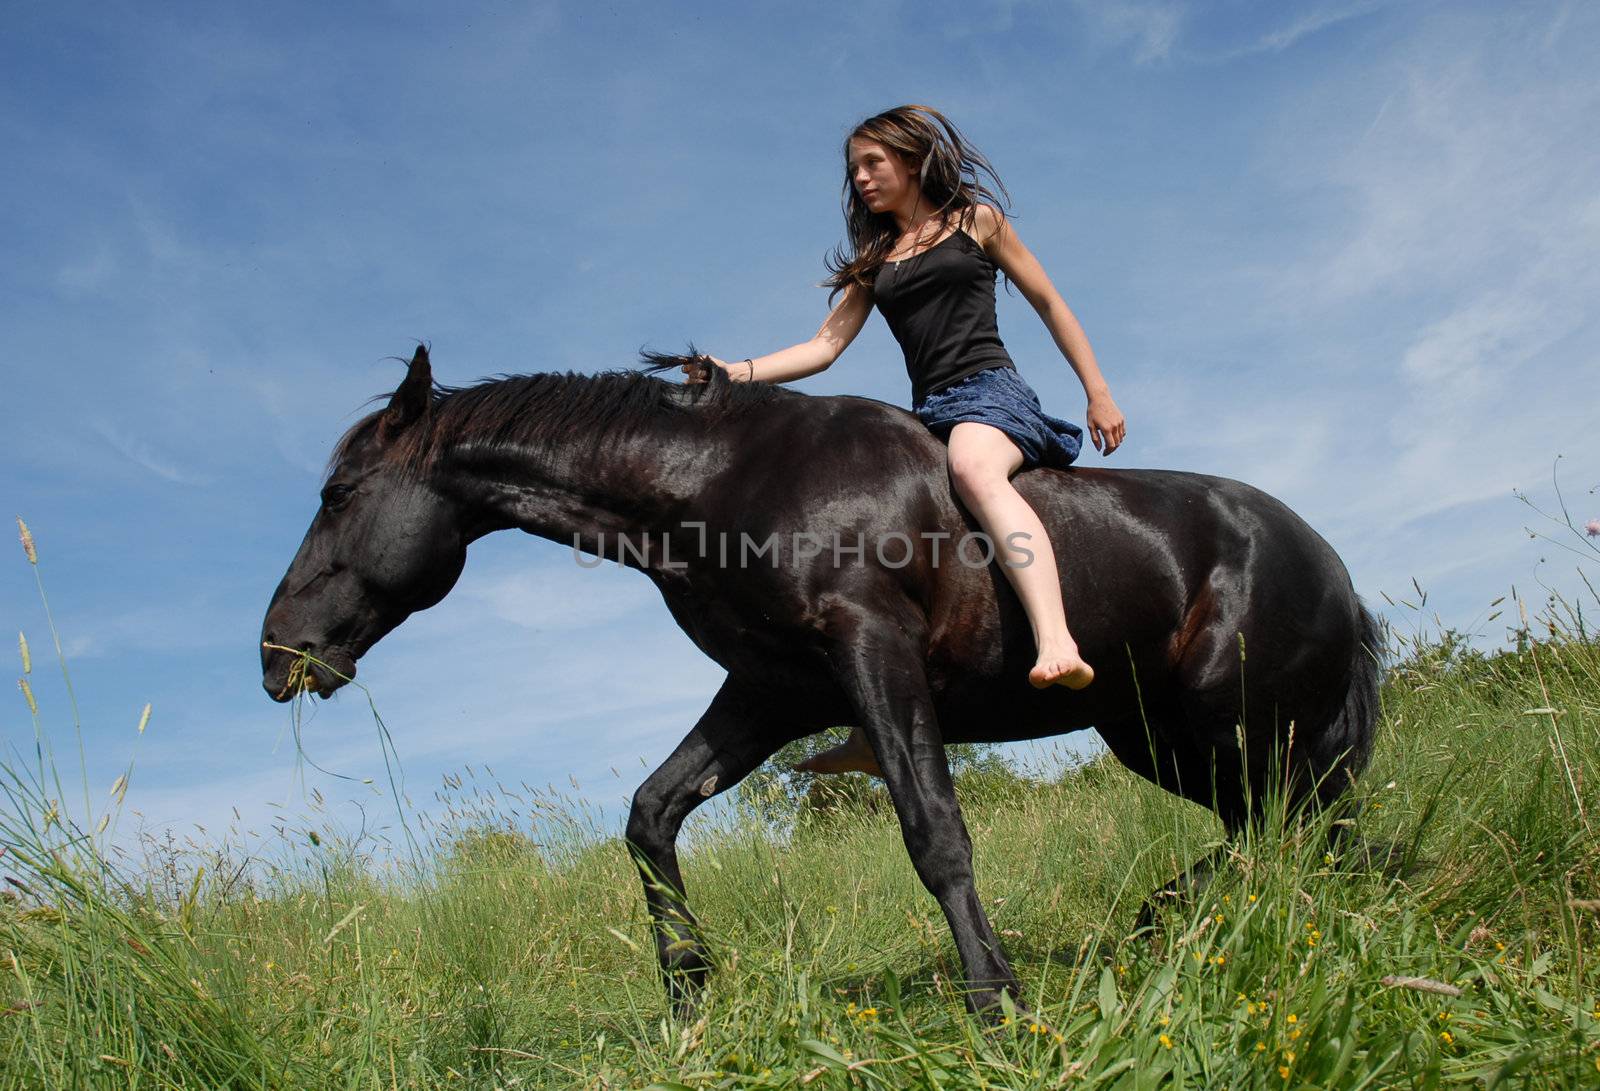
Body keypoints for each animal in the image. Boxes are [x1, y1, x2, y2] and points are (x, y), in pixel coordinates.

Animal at [259, 345, 1376, 1011]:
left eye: (338, 492)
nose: (277, 654)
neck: (726, 482)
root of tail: (1331, 565)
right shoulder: (771, 692)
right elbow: (651, 815)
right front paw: (689, 992)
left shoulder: (871, 652)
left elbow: (934, 832)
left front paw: (997, 1001)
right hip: (1159, 735)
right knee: (1278, 829)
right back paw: (1183, 918)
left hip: (1229, 726)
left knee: (1292, 824)